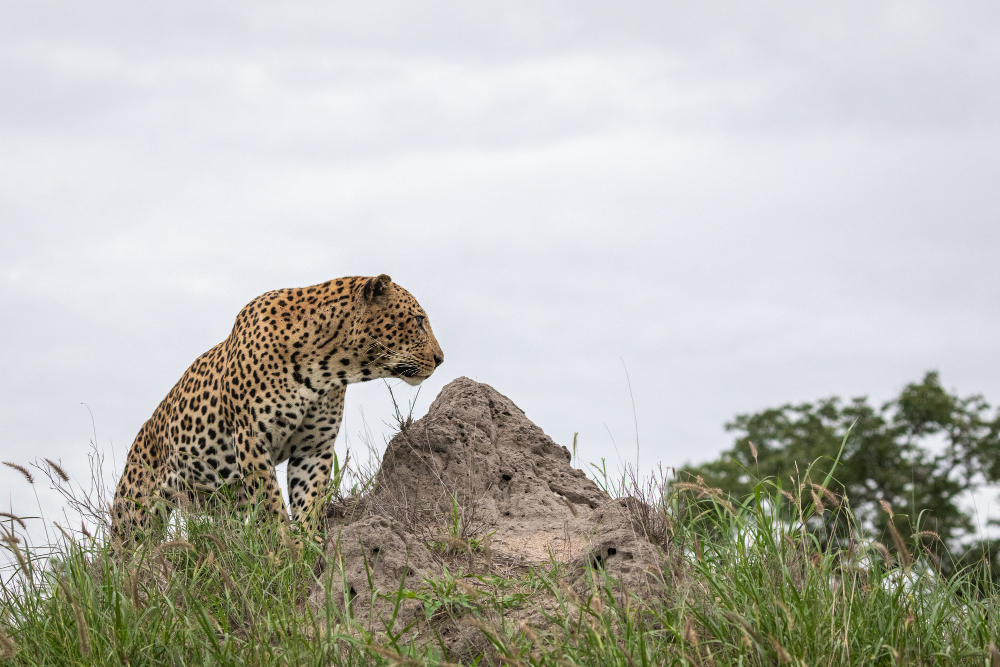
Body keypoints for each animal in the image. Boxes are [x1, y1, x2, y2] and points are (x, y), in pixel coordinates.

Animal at [111, 274, 443, 543]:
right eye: (418, 321)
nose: (441, 358)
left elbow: (309, 500)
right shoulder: (252, 438)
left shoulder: (314, 447)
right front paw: (283, 546)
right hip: (134, 513)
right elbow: (270, 500)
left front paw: (309, 543)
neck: (326, 366)